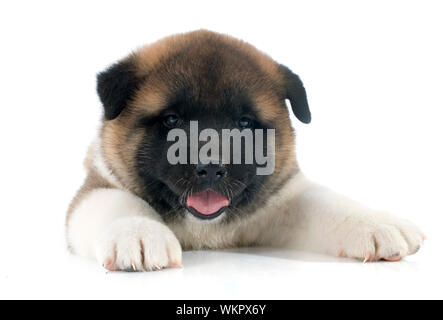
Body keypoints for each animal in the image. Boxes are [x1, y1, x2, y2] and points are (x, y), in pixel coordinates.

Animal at [65, 30, 424, 272]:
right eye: (171, 120)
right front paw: (138, 234)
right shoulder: (99, 185)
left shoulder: (283, 202)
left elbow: (324, 202)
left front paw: (377, 223)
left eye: (245, 123)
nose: (211, 168)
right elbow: (118, 203)